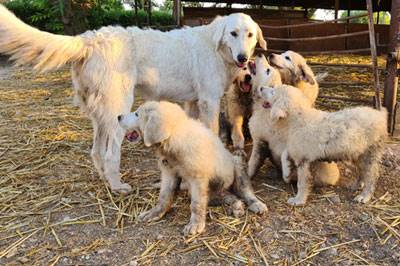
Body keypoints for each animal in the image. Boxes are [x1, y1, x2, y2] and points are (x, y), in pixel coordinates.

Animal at [0, 5, 268, 192]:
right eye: (233, 34)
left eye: (250, 35)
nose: (244, 58)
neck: (216, 48)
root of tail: (91, 39)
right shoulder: (209, 101)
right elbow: (212, 134)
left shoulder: (191, 102)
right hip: (119, 111)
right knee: (110, 154)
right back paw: (118, 187)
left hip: (100, 117)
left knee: (96, 152)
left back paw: (105, 180)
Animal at [119, 101, 268, 235]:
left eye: (137, 114)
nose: (119, 117)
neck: (174, 143)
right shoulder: (169, 173)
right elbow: (164, 197)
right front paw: (154, 213)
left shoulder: (198, 179)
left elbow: (196, 205)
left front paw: (195, 225)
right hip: (209, 190)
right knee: (229, 197)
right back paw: (237, 206)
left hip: (237, 166)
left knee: (245, 191)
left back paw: (256, 204)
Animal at [260, 85, 388, 206]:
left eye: (273, 92)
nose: (261, 88)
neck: (298, 118)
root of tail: (380, 115)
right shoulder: (297, 148)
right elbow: (285, 153)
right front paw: (286, 173)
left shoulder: (303, 159)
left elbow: (302, 182)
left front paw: (299, 200)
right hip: (358, 153)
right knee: (363, 171)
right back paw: (356, 185)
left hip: (370, 152)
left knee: (371, 176)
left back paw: (364, 196)